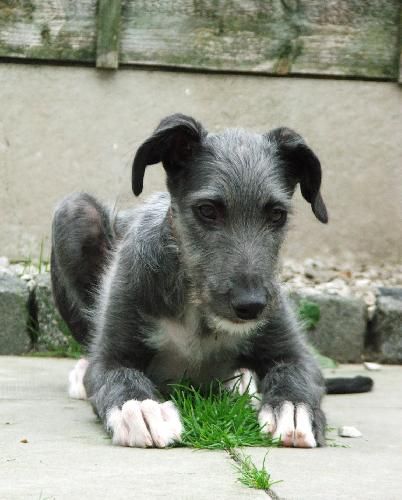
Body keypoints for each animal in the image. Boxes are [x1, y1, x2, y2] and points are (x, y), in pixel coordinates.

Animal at [51, 114, 374, 450]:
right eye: (207, 210)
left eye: (277, 214)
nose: (252, 306)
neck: (196, 306)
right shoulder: (112, 359)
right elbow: (119, 378)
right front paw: (141, 409)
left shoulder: (295, 356)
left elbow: (296, 376)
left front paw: (293, 409)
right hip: (74, 212)